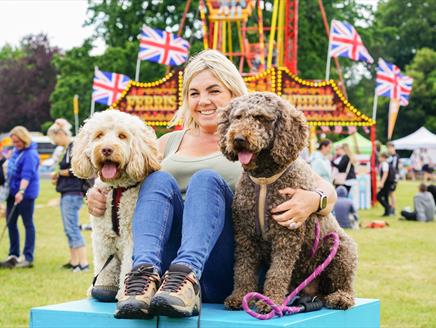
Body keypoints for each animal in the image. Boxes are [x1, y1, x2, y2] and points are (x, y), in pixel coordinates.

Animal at [71, 111, 160, 302]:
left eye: (122, 136)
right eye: (99, 135)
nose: (106, 149)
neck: (118, 189)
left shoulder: (132, 236)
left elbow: (129, 264)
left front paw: (124, 292)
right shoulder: (103, 236)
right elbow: (105, 264)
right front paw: (103, 287)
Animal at [218, 91, 358, 312]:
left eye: (261, 118)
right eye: (237, 117)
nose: (238, 139)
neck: (264, 180)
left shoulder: (286, 236)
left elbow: (278, 272)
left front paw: (271, 301)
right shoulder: (245, 236)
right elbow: (243, 269)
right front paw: (240, 296)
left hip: (342, 251)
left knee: (345, 284)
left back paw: (340, 298)